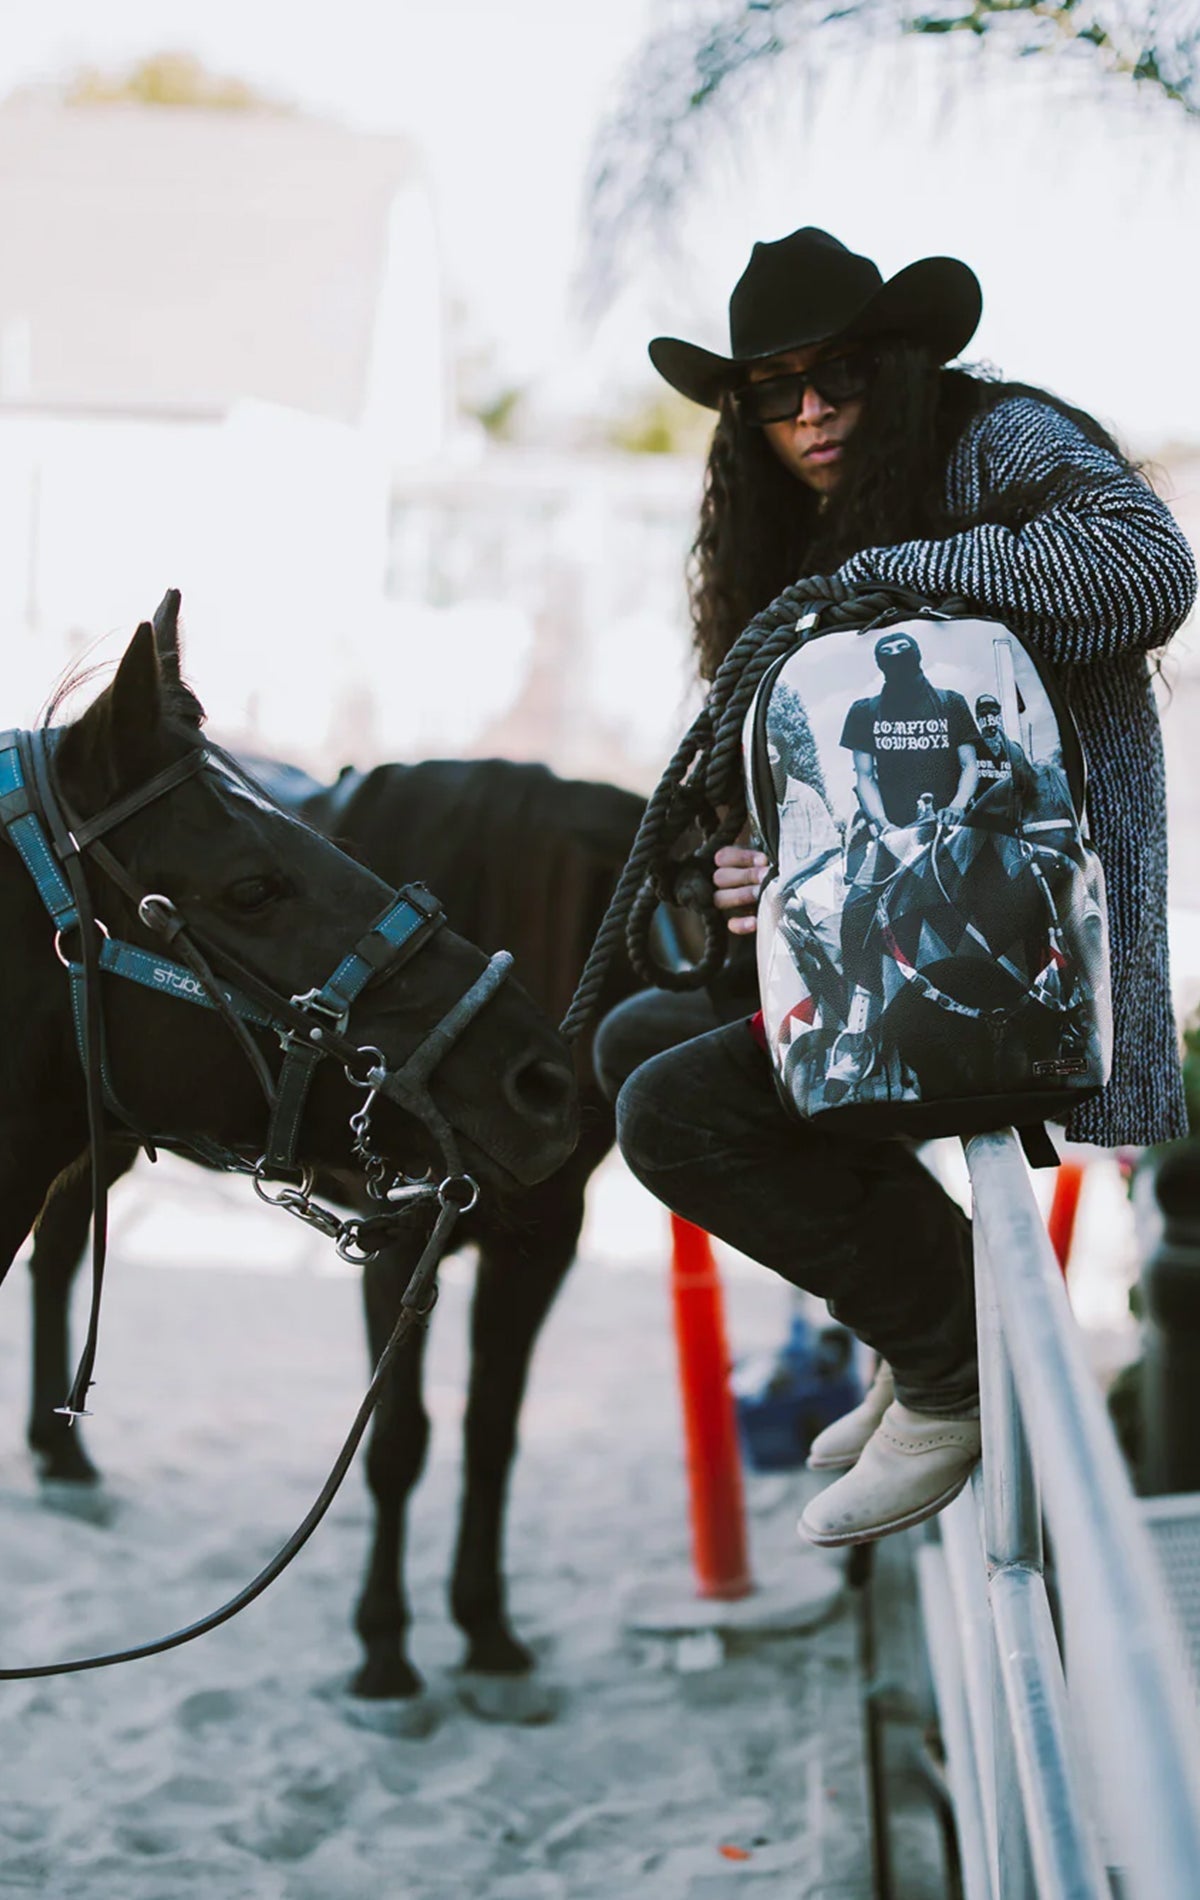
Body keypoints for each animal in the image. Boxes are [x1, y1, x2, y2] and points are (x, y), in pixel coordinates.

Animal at [23, 725, 641, 1725]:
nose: (544, 1086)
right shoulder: (399, 1243)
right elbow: (396, 1443)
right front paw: (386, 1652)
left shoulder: (542, 1244)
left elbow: (491, 1434)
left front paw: (488, 1635)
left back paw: (62, 1456)